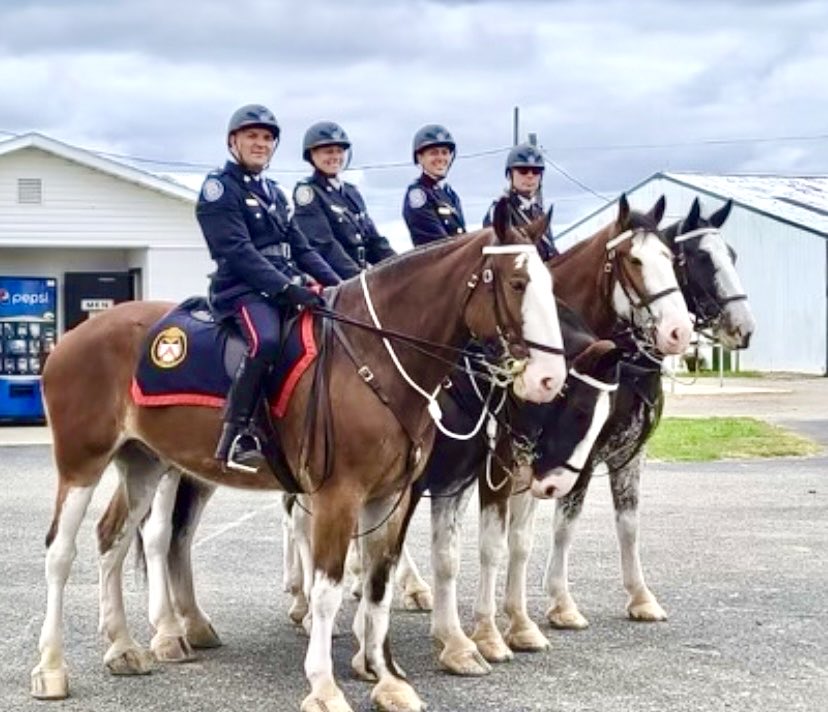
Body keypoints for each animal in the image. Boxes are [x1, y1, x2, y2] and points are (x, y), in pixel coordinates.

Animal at [29, 204, 568, 712]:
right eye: (518, 282)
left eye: (550, 283)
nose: (550, 380)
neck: (377, 355)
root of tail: (71, 337)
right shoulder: (338, 496)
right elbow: (328, 590)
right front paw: (325, 686)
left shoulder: (392, 496)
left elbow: (378, 583)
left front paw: (388, 680)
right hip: (82, 464)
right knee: (62, 553)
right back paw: (52, 668)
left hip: (144, 463)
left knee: (114, 539)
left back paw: (123, 646)